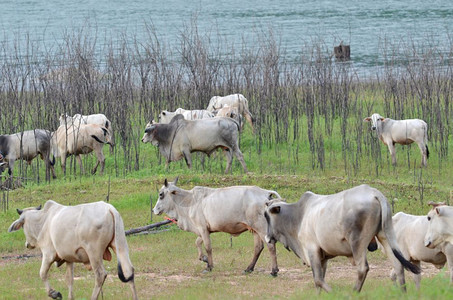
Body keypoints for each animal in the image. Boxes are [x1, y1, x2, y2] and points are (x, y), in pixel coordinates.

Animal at [7, 199, 137, 300]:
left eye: (23, 225)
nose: (27, 244)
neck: (43, 220)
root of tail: (110, 209)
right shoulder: (69, 259)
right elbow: (69, 280)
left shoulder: (48, 254)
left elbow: (42, 273)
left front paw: (54, 293)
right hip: (120, 245)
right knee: (128, 271)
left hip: (94, 252)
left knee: (100, 275)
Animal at [264, 183, 420, 292]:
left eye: (266, 215)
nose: (267, 237)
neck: (298, 216)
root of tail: (375, 193)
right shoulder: (322, 257)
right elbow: (318, 281)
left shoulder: (311, 249)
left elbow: (318, 280)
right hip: (385, 236)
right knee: (398, 265)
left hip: (357, 243)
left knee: (362, 269)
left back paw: (354, 292)